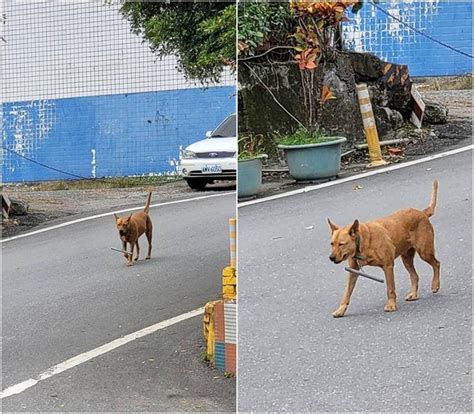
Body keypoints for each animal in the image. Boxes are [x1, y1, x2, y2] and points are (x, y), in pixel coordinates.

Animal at [328, 180, 438, 316]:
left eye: (341, 244)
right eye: (332, 243)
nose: (331, 258)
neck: (363, 242)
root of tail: (422, 213)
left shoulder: (388, 266)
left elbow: (390, 289)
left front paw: (391, 305)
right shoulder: (353, 272)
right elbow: (346, 293)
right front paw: (341, 309)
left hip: (424, 252)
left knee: (436, 264)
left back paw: (435, 285)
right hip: (406, 258)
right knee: (415, 276)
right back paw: (413, 294)